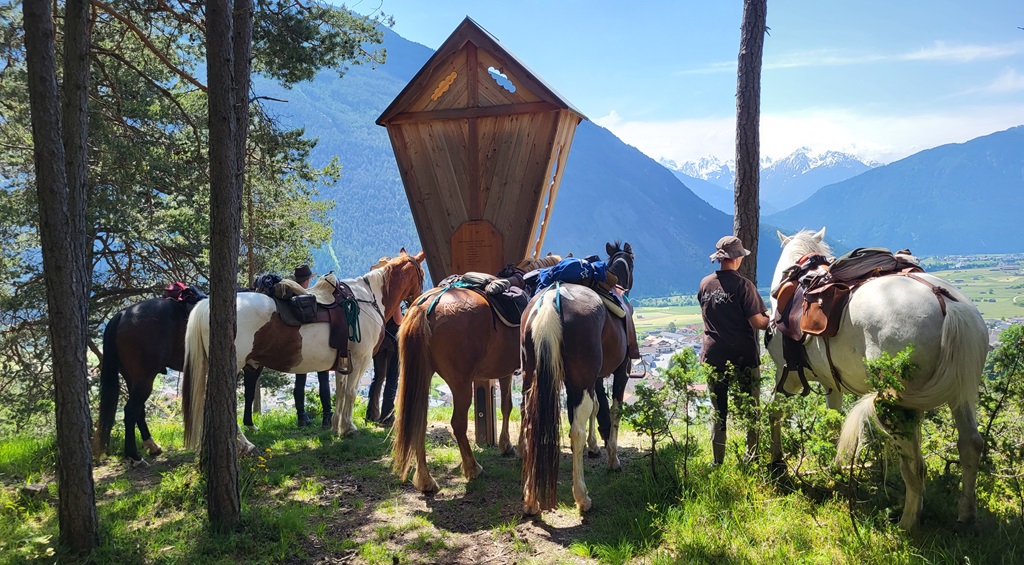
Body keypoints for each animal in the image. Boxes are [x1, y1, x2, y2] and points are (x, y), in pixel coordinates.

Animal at [183, 249, 423, 452]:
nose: (418, 298)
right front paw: (348, 428)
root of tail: (207, 304)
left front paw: (336, 427)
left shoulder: (343, 361)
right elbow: (351, 393)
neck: (366, 299)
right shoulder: (360, 359)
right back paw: (246, 445)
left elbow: (340, 392)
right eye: (421, 273)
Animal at [389, 253, 565, 491]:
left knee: (419, 421)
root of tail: (425, 307)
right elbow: (523, 407)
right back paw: (472, 468)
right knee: (458, 423)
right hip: (460, 384)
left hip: (423, 379)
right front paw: (521, 446)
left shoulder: (504, 371)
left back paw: (425, 479)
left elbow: (507, 405)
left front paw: (506, 445)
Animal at [524, 240, 634, 513]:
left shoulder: (592, 379)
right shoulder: (620, 371)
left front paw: (594, 446)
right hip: (582, 380)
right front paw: (612, 458)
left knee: (530, 424)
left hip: (533, 379)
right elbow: (612, 411)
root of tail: (552, 299)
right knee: (576, 431)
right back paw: (582, 497)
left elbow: (596, 407)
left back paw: (530, 499)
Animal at [765, 228, 987, 528]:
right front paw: (836, 468)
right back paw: (966, 515)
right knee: (970, 445)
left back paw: (907, 522)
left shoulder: (785, 374)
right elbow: (834, 422)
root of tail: (947, 303)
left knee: (914, 465)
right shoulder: (831, 384)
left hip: (899, 404)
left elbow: (775, 413)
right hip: (960, 392)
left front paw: (777, 464)